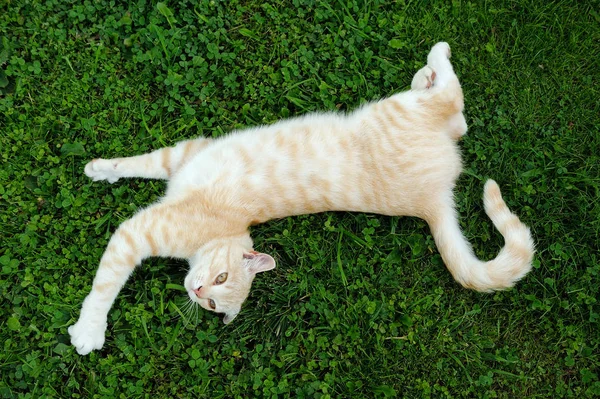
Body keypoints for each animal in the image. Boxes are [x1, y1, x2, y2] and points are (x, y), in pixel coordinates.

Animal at [69, 43, 536, 356]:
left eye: (215, 299)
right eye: (218, 283)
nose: (197, 290)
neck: (215, 239)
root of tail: (432, 200)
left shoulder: (138, 229)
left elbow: (105, 284)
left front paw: (89, 331)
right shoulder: (184, 156)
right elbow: (141, 162)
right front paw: (102, 169)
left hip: (404, 112)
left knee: (452, 98)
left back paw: (435, 59)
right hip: (409, 112)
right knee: (456, 113)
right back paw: (428, 70)